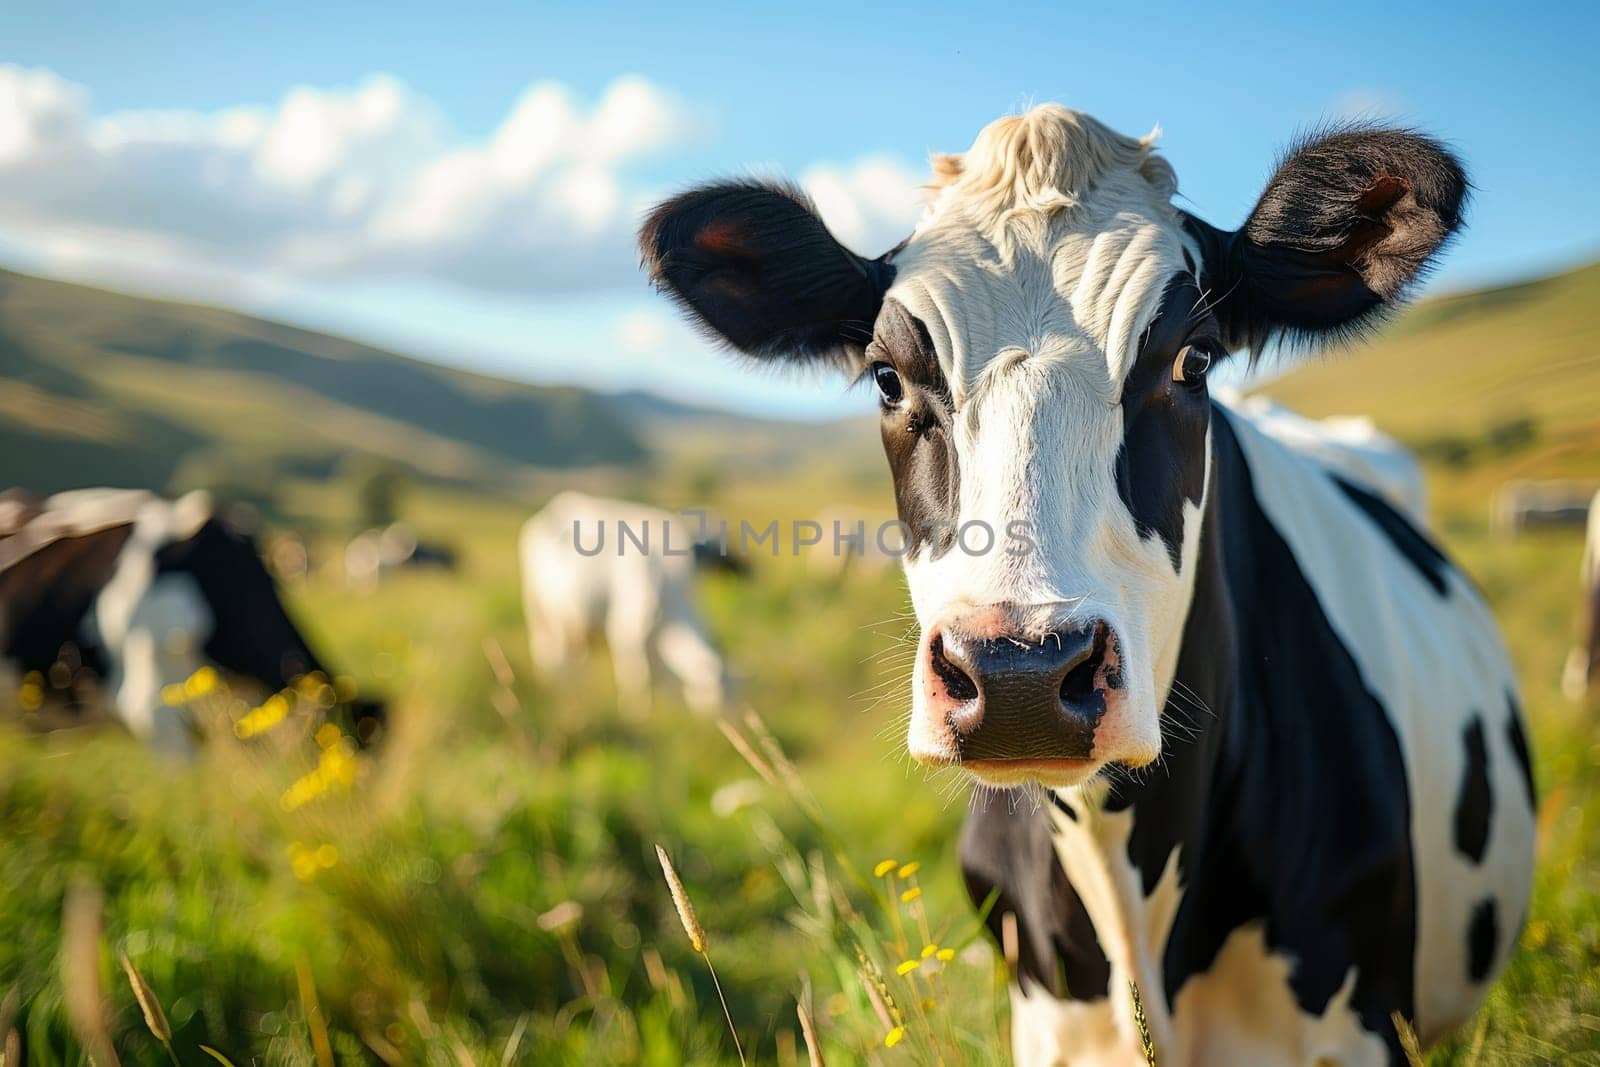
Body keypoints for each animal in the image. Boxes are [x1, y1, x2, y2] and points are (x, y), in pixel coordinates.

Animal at [521, 492, 739, 716]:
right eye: (720, 694)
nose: (734, 717)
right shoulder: (626, 631)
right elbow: (638, 678)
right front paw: (637, 712)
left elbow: (662, 678)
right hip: (536, 608)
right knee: (546, 651)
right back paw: (555, 690)